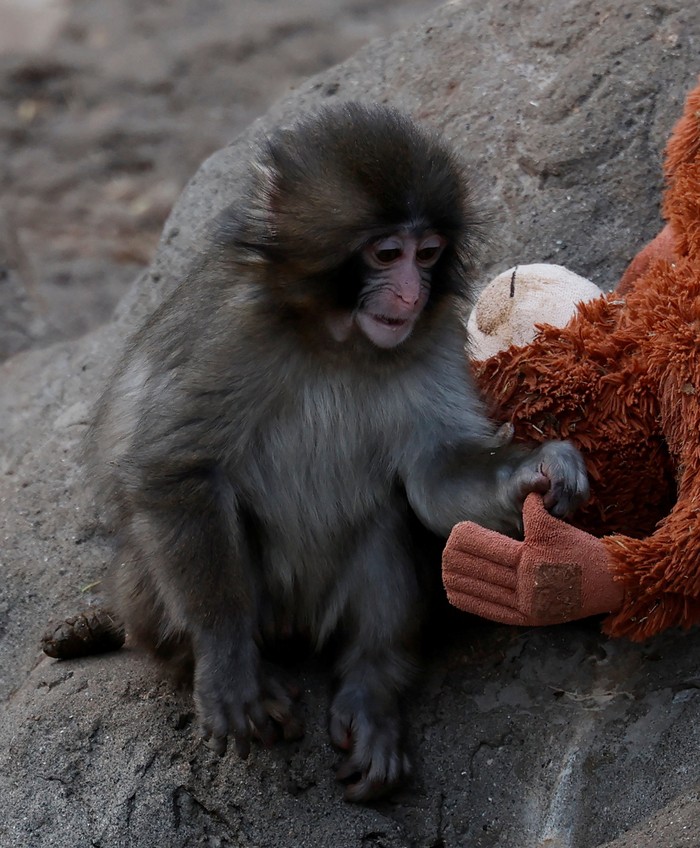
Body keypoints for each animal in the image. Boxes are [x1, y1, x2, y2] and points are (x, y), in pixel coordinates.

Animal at [85, 102, 589, 802]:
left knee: (386, 519)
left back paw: (372, 685)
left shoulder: (432, 339)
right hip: (162, 600)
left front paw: (539, 469)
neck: (335, 338)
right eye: (387, 253)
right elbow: (177, 469)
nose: (409, 294)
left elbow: (433, 481)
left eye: (427, 254)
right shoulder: (230, 334)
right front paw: (225, 660)